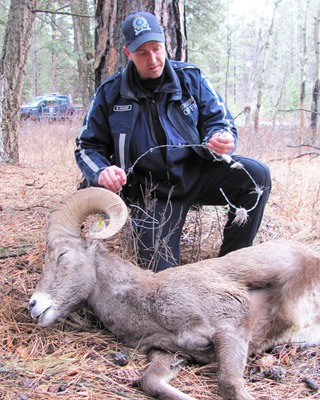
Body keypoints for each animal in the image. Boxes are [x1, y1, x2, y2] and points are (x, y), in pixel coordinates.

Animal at [28, 189, 318, 400]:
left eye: (62, 255)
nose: (34, 305)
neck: (145, 302)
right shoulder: (170, 354)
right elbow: (150, 382)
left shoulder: (232, 325)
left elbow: (229, 385)